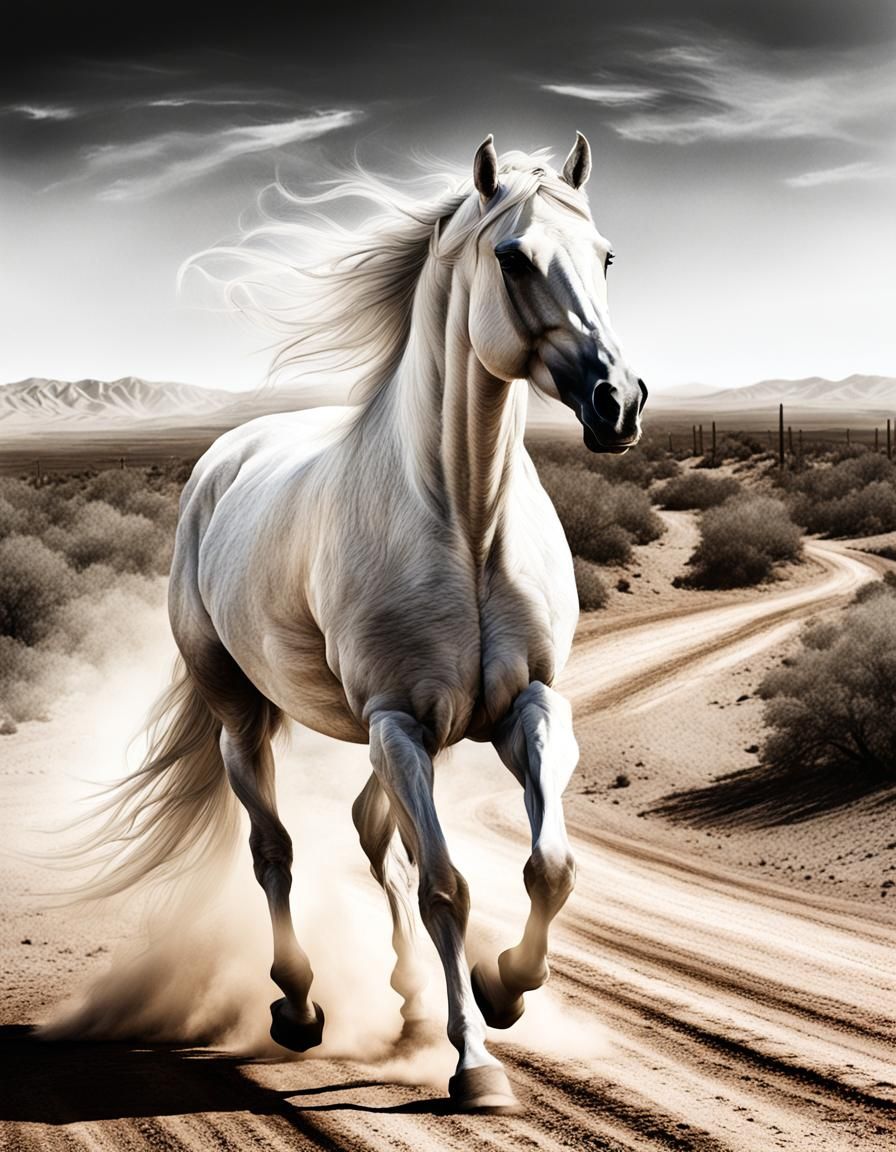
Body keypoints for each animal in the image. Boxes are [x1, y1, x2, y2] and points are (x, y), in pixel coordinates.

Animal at [82, 133, 646, 1113]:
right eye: (512, 258)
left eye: (605, 255)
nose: (619, 402)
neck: (465, 519)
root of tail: (223, 459)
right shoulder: (399, 722)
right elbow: (446, 889)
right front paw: (476, 1064)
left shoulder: (527, 708)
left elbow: (548, 867)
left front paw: (502, 990)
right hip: (250, 716)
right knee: (277, 850)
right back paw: (301, 1006)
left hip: (403, 738)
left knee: (374, 836)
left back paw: (413, 1006)